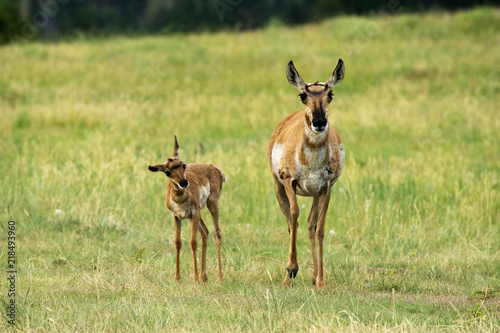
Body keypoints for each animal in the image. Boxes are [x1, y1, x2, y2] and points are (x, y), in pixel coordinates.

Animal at [148, 136, 227, 282]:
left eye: (183, 165)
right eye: (167, 172)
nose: (184, 183)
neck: (180, 199)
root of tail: (213, 168)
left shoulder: (193, 213)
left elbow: (193, 242)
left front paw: (195, 278)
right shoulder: (176, 216)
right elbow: (178, 243)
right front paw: (177, 278)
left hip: (212, 205)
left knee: (216, 233)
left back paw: (219, 276)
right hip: (198, 215)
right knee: (205, 233)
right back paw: (204, 276)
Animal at [268, 59, 346, 288]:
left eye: (330, 94)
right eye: (303, 95)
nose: (319, 122)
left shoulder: (325, 188)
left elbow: (319, 228)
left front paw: (321, 281)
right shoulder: (289, 182)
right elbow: (294, 214)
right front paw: (292, 269)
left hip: (314, 194)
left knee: (311, 224)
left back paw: (313, 277)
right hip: (278, 188)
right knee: (289, 222)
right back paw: (288, 277)